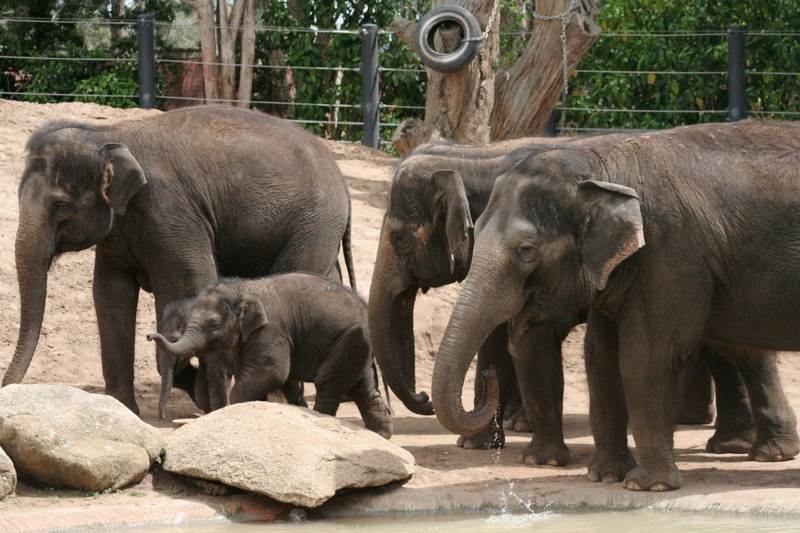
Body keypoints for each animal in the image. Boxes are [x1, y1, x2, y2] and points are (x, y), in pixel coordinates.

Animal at [6, 104, 354, 414]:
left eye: (61, 207)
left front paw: (203, 395)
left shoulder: (169, 212)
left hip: (311, 225)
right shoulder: (118, 236)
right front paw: (124, 408)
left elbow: (188, 286)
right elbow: (109, 296)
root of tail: (343, 181)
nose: (6, 385)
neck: (107, 135)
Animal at [148, 272, 394, 438]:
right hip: (354, 349)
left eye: (214, 324)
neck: (244, 286)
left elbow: (272, 372)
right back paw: (381, 435)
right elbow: (268, 377)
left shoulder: (270, 331)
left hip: (347, 344)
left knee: (328, 385)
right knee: (363, 388)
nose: (150, 336)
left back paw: (321, 420)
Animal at [432, 119, 800, 486]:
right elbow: (600, 353)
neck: (604, 166)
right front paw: (602, 474)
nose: (489, 373)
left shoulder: (668, 252)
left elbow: (644, 353)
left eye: (526, 250)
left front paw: (647, 485)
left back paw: (766, 455)